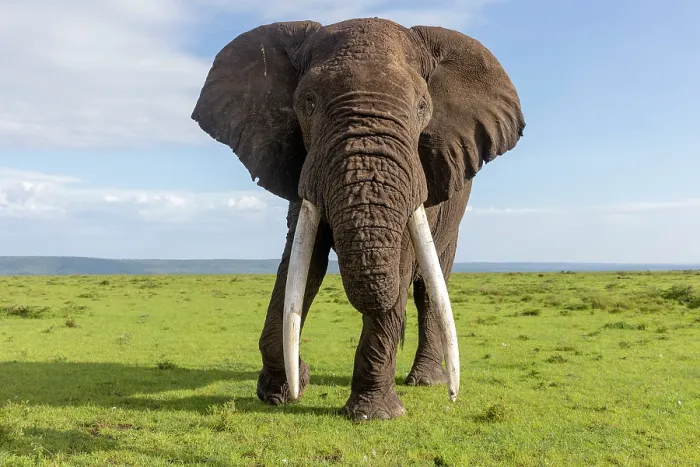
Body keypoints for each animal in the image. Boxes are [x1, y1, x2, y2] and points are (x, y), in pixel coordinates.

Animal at [191, 17, 525, 421]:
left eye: (422, 106)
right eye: (308, 102)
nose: (301, 377)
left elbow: (399, 265)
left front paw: (374, 415)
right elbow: (303, 263)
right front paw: (283, 391)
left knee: (430, 289)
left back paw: (423, 381)